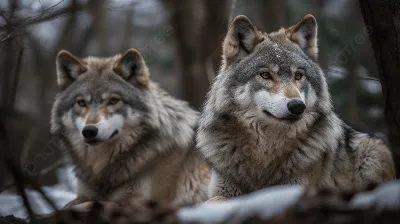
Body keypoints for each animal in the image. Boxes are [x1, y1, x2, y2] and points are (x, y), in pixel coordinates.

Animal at [50, 48, 209, 207]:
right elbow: (68, 206)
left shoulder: (136, 203)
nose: (89, 131)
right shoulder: (84, 195)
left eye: (113, 100)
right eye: (81, 103)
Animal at [195, 13, 396, 201]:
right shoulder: (221, 192)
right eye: (266, 75)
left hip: (371, 154)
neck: (264, 151)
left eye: (298, 75)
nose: (298, 106)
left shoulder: (293, 190)